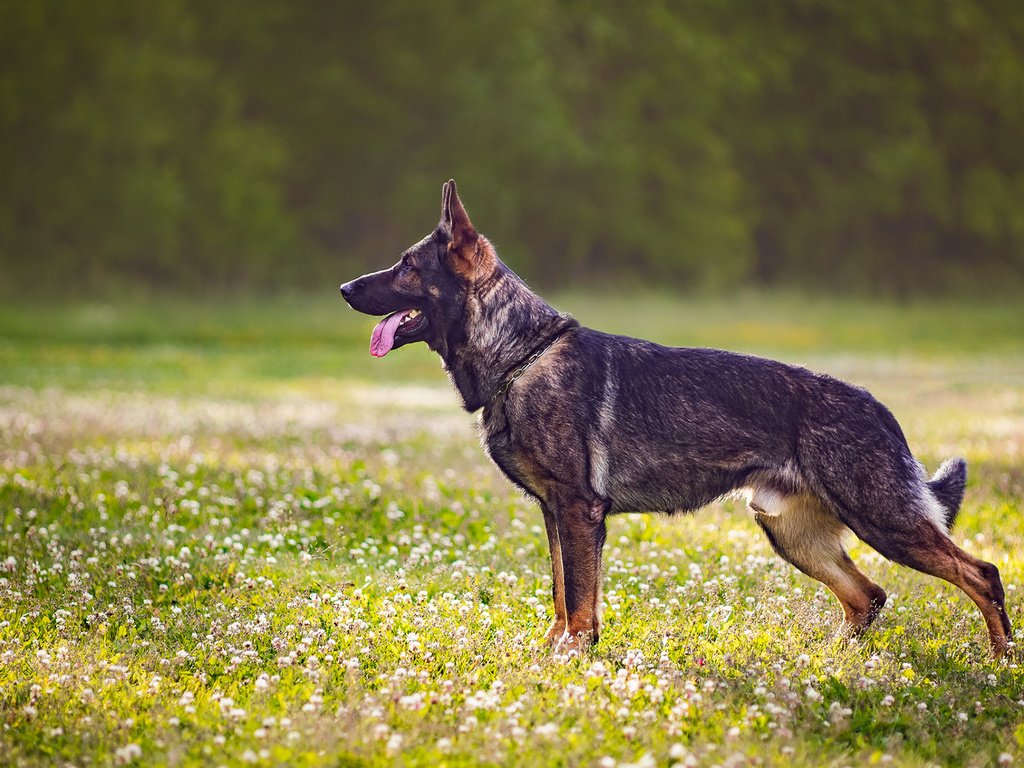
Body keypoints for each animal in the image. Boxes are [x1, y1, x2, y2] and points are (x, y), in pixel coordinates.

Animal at [339, 179, 1011, 655]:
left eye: (407, 266)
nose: (344, 288)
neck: (521, 354)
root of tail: (879, 408)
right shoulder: (556, 514)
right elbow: (561, 594)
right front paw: (554, 652)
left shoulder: (578, 510)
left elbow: (578, 600)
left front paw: (572, 659)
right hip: (793, 533)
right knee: (868, 596)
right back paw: (830, 658)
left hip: (882, 521)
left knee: (981, 573)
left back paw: (999, 661)